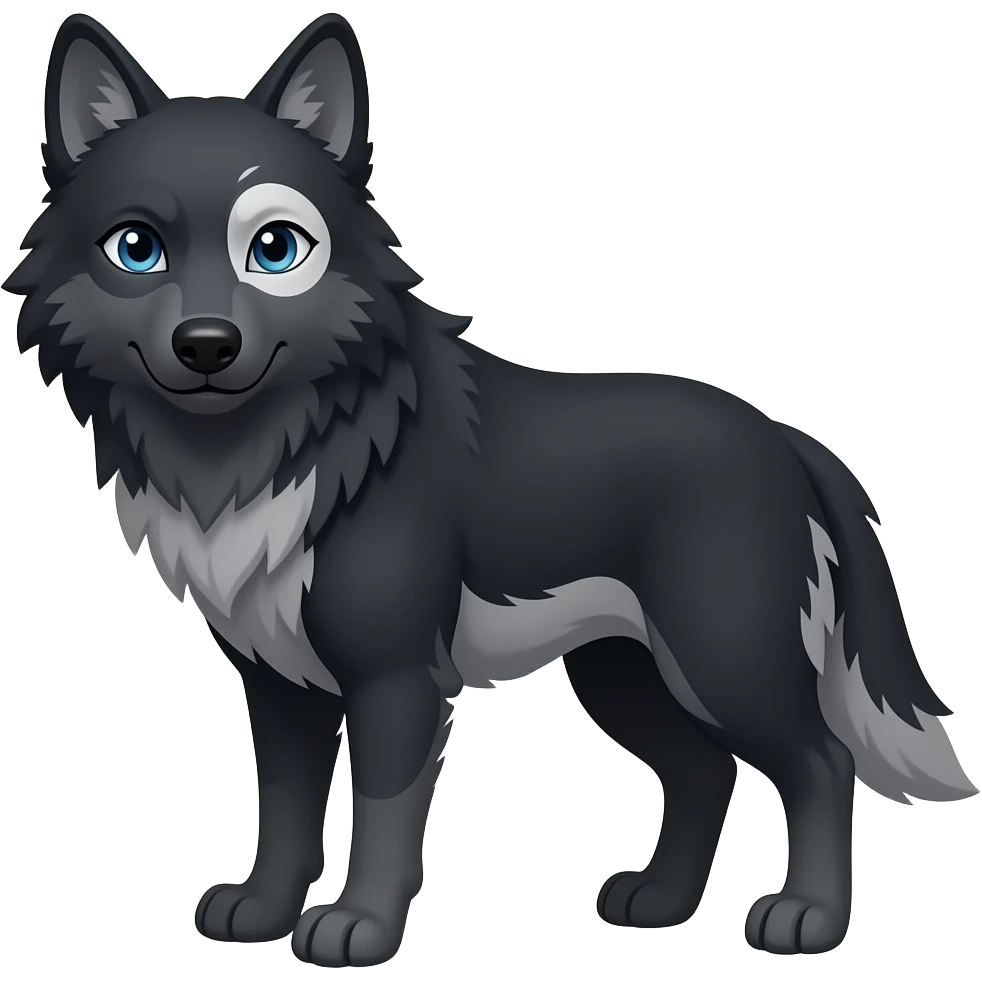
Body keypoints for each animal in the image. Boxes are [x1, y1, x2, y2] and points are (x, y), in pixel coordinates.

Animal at [6, 10, 976, 968]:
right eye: (137, 249)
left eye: (275, 250)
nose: (207, 345)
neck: (288, 444)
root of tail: (787, 440)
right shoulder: (279, 683)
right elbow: (283, 807)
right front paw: (262, 908)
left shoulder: (394, 678)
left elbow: (383, 813)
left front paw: (358, 929)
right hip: (622, 672)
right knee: (705, 770)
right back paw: (659, 902)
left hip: (720, 657)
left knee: (819, 762)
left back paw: (807, 918)